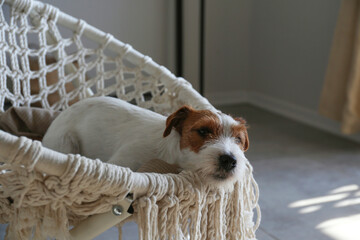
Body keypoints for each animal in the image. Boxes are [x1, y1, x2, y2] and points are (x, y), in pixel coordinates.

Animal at [42, 96, 249, 185]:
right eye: (203, 130)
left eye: (238, 139)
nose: (230, 160)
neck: (167, 154)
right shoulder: (120, 163)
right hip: (65, 142)